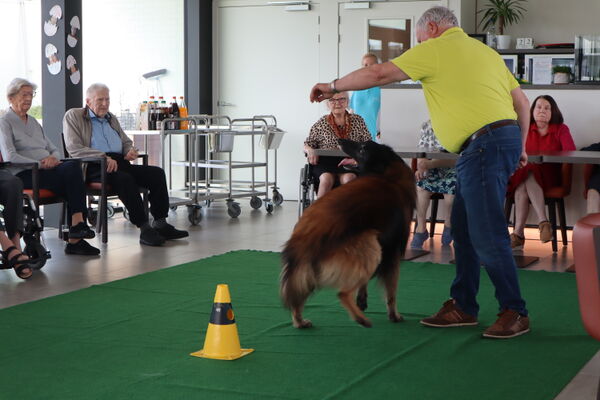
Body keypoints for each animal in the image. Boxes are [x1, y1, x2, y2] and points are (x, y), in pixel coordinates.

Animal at [280, 139, 412, 326]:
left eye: (363, 148)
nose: (339, 141)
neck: (388, 173)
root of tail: (308, 237)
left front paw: (362, 298)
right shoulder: (392, 251)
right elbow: (392, 290)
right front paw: (394, 315)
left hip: (305, 271)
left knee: (297, 296)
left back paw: (300, 322)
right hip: (371, 244)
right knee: (342, 293)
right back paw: (361, 319)